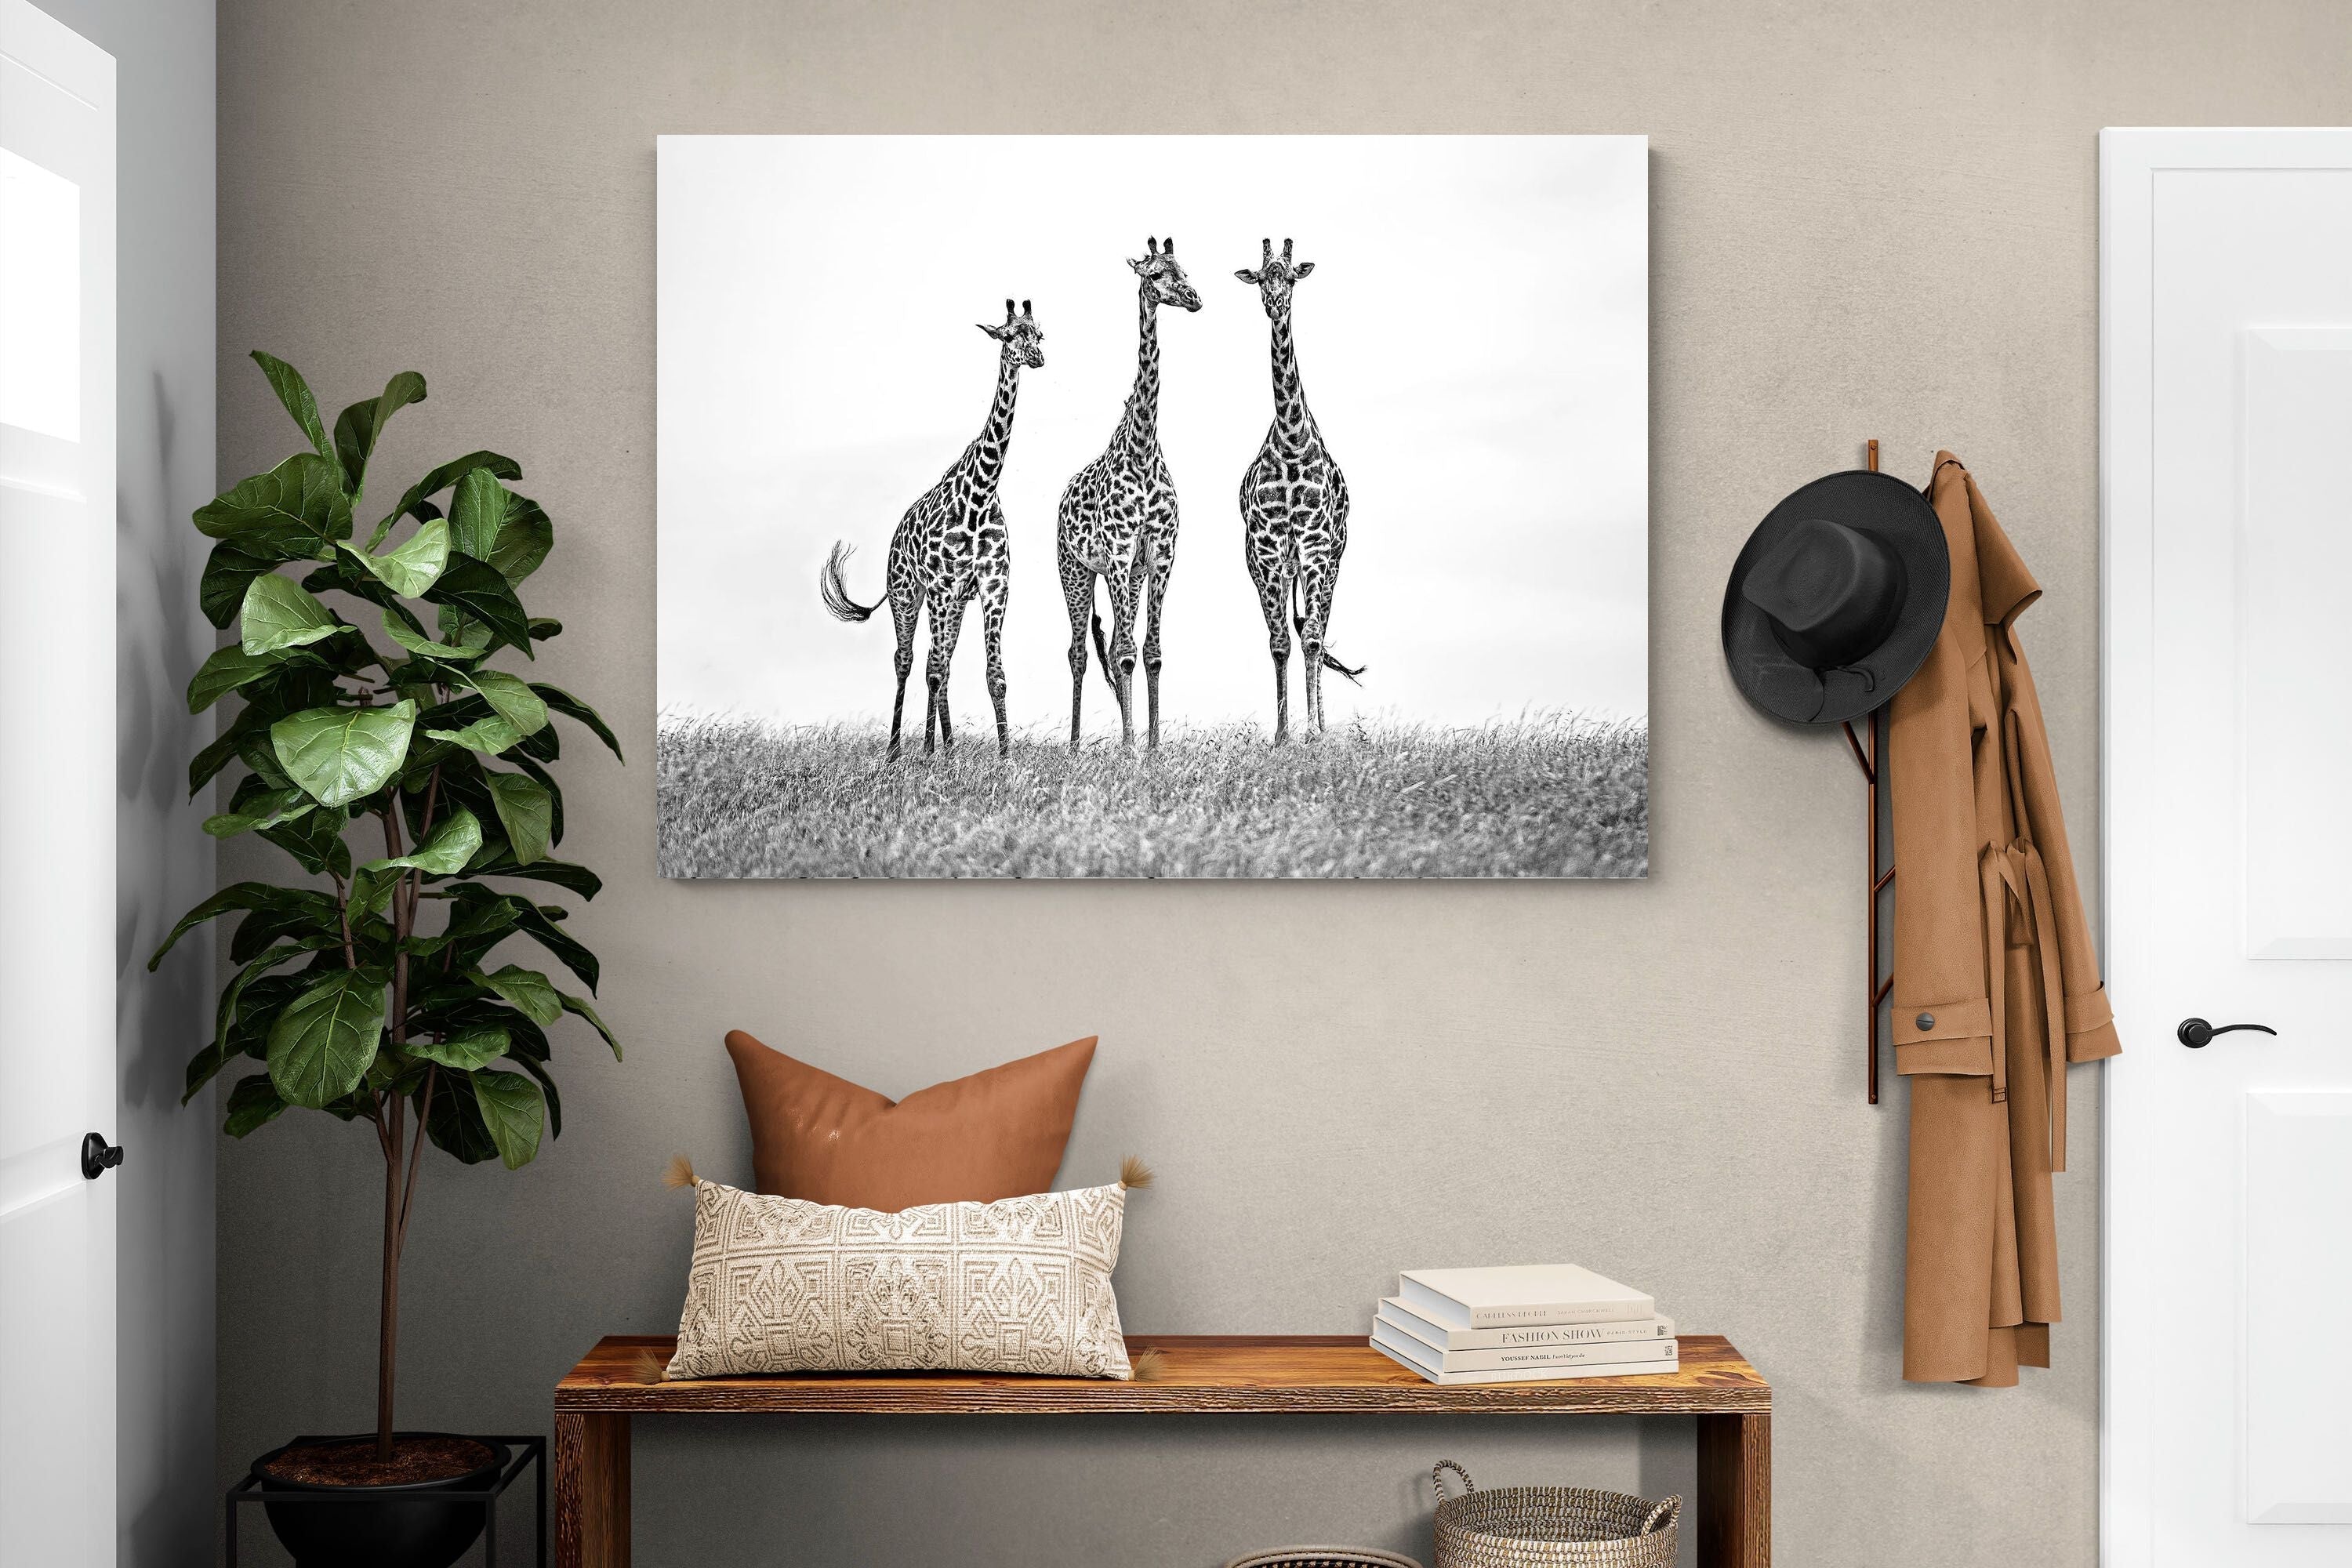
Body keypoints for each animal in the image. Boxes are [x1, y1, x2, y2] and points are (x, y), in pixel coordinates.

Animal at [819, 299, 1044, 759]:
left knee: (941, 662)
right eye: (1010, 335)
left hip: (953, 604)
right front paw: (926, 754)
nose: (1037, 358)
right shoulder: (941, 587)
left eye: (1039, 333)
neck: (981, 491)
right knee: (908, 662)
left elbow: (995, 675)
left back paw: (950, 746)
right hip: (908, 596)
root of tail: (894, 537)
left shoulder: (993, 587)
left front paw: (1006, 758)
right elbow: (933, 669)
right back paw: (897, 751)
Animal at [1055, 235, 1202, 750]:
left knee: (1119, 642)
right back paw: (1076, 743)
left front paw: (1153, 744)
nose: (1194, 298)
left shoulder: (1159, 555)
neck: (1142, 452)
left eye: (1184, 268)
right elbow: (1122, 652)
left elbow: (1150, 651)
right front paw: (1130, 746)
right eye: (1155, 275)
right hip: (1076, 571)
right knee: (1079, 650)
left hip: (1129, 576)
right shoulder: (1117, 554)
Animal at [1234, 237, 1363, 744]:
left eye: (1289, 277)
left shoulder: (1315, 546)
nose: (1276, 303)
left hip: (1331, 562)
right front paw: (1283, 734)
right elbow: (1279, 642)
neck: (1291, 441)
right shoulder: (1268, 550)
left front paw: (1313, 733)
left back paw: (1322, 724)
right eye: (1260, 278)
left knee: (1318, 631)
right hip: (1277, 567)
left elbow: (1310, 639)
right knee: (1299, 628)